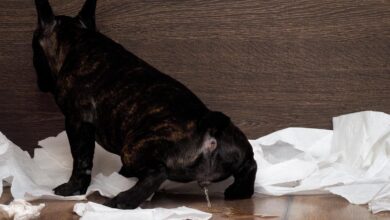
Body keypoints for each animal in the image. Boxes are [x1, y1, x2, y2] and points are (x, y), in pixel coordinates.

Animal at [32, 0, 256, 209]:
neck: (77, 38)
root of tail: (210, 128)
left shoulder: (77, 122)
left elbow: (81, 159)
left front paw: (72, 189)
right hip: (239, 144)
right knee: (250, 164)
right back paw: (239, 191)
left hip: (133, 148)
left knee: (157, 172)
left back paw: (123, 200)